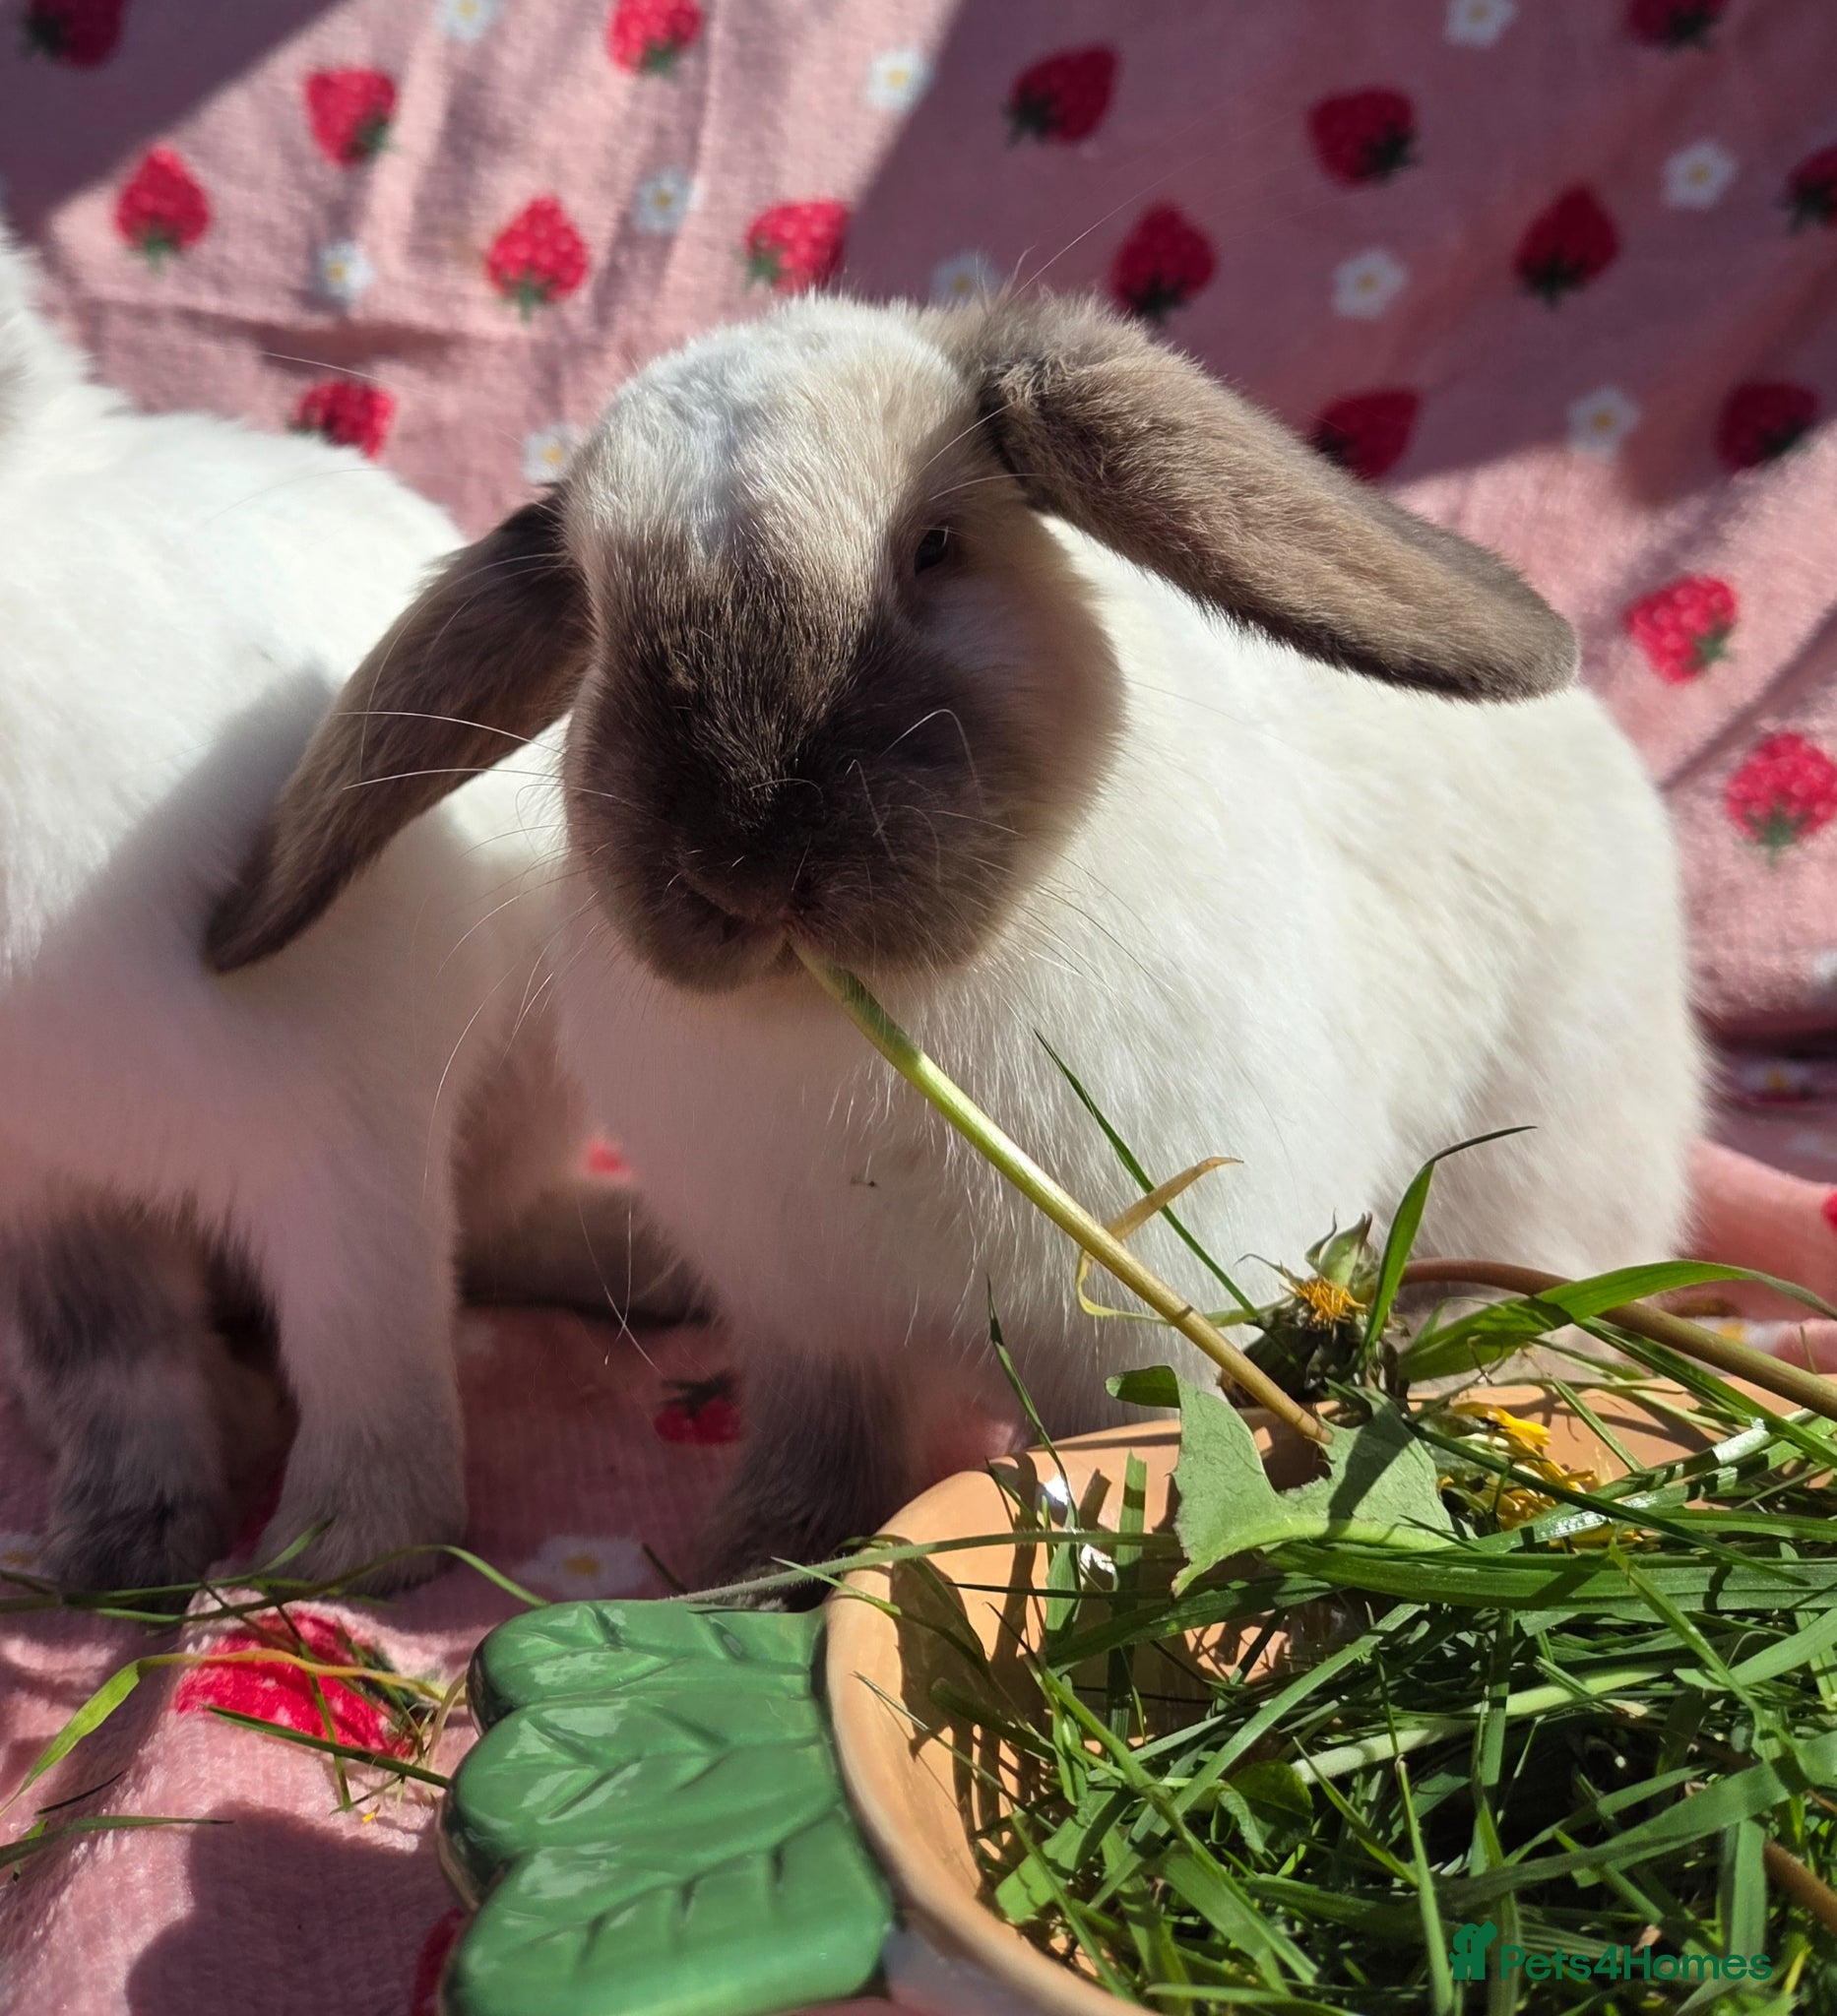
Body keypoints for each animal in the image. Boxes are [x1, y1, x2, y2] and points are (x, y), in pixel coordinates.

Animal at [0, 230, 694, 1593]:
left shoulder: (345, 1144)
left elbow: (369, 1353)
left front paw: (347, 1556)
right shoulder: (55, 1192)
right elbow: (115, 1371)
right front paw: (119, 1551)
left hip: (532, 1068)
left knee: (491, 1231)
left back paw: (648, 1258)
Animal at [206, 289, 1702, 1589]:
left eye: (934, 546)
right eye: (596, 609)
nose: (745, 856)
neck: (863, 1027)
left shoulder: (1142, 1317)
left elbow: (1143, 1441)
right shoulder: (808, 1329)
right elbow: (819, 1458)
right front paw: (752, 1571)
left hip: (1554, 1145)